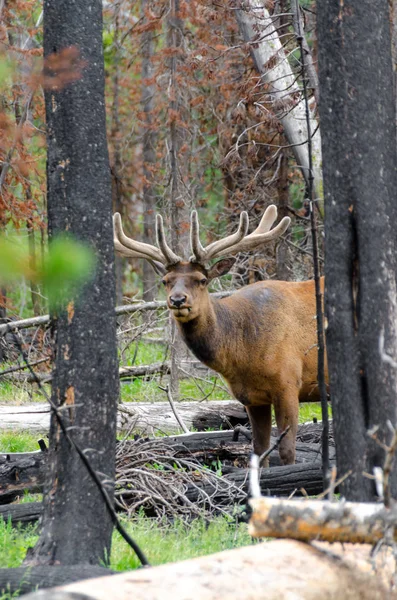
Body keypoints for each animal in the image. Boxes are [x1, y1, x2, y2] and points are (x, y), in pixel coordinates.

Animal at [113, 206, 324, 464]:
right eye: (165, 281)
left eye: (202, 280)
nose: (178, 300)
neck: (244, 352)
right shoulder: (252, 397)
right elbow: (259, 449)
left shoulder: (289, 383)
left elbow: (286, 451)